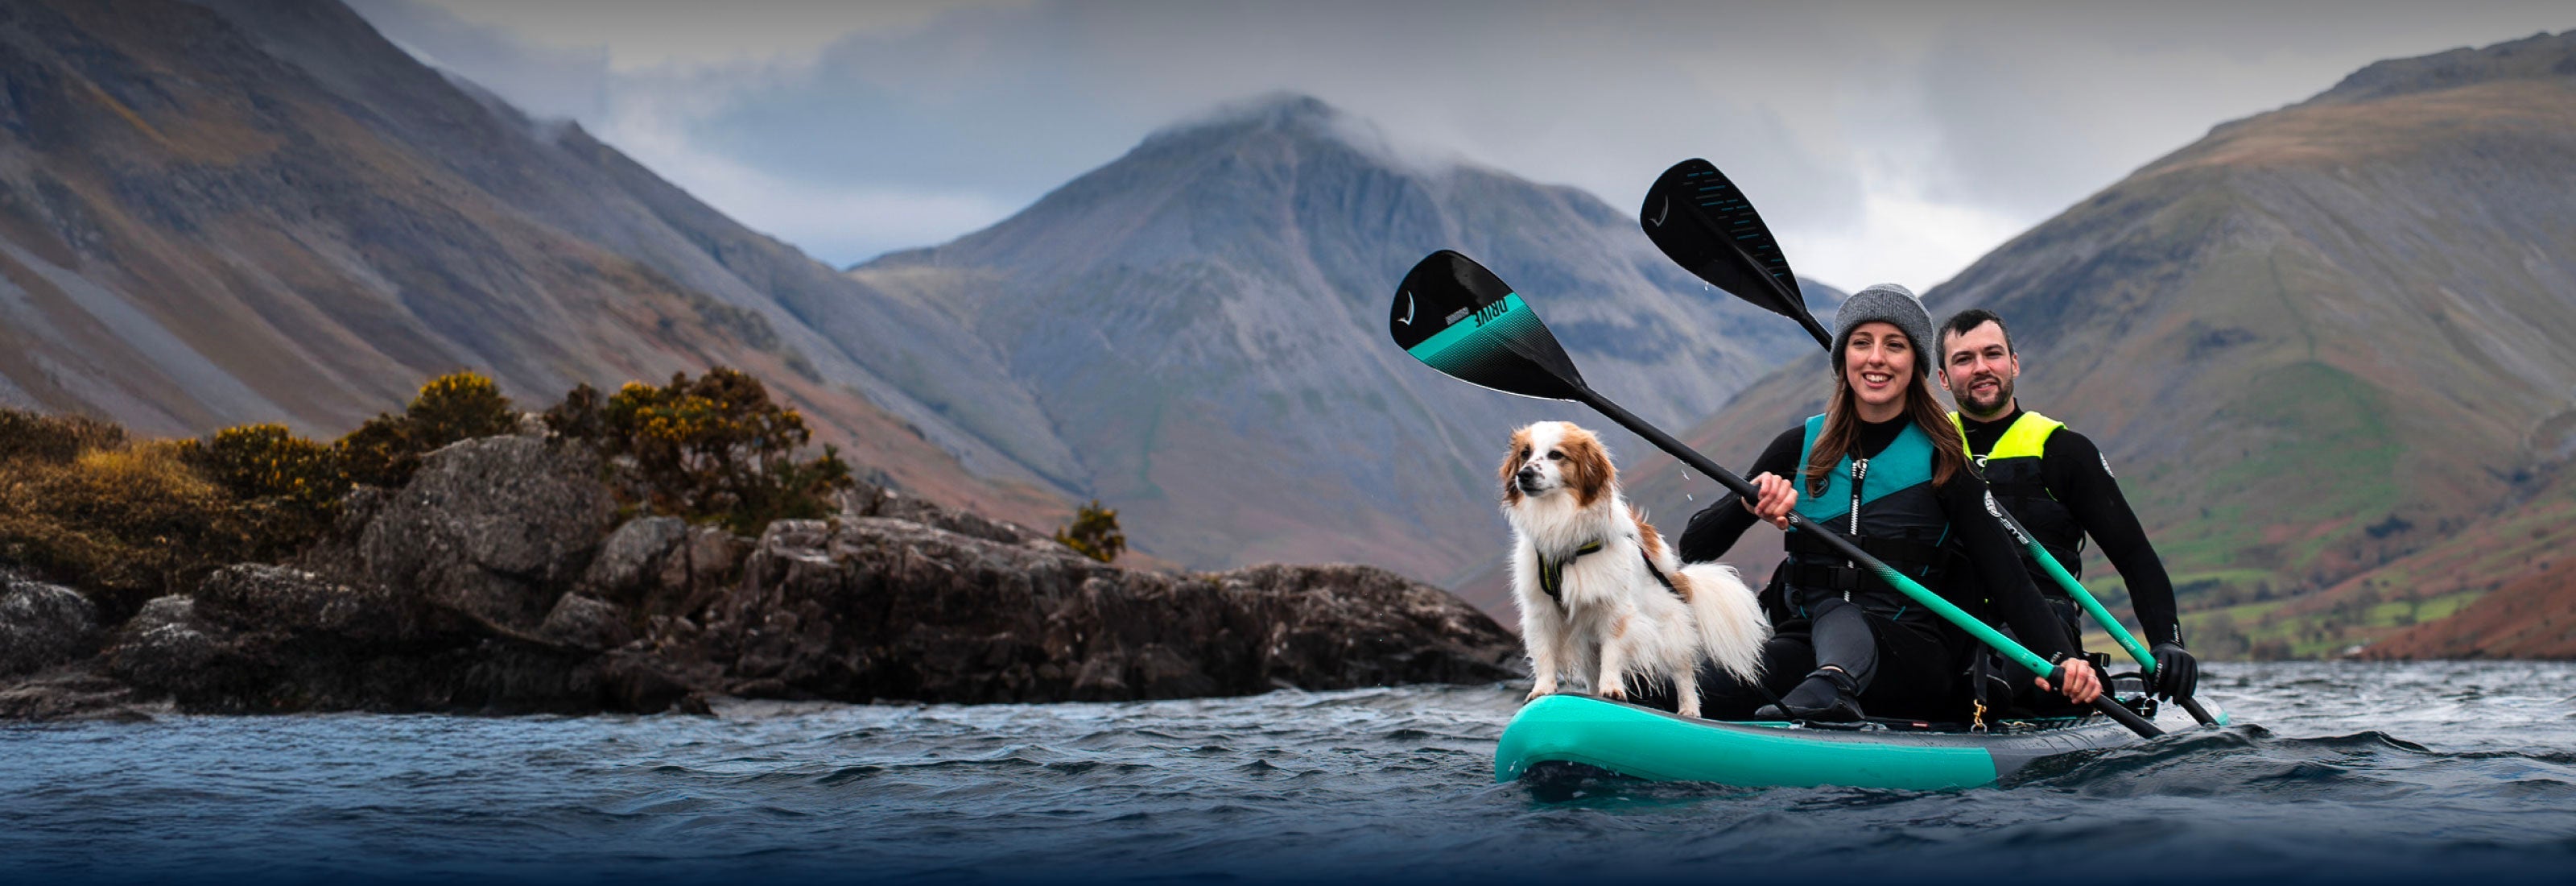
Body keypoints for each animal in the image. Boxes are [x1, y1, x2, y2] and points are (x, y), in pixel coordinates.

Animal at [1504, 420, 1772, 715]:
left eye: (1556, 455)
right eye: (1525, 454)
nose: (1524, 475)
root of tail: (1674, 574)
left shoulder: (1615, 611)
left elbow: (1613, 653)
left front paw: (1613, 689)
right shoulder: (1540, 612)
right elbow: (1543, 653)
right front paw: (1542, 690)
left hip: (1668, 632)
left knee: (1683, 673)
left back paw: (1689, 710)